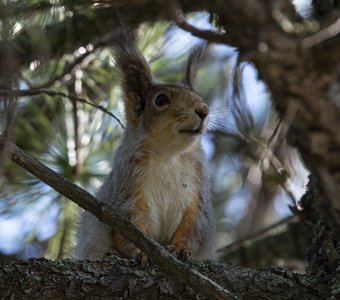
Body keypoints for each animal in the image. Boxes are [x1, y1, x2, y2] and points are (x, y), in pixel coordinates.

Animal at [75, 31, 216, 260]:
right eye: (161, 100)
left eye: (199, 96)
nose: (203, 110)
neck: (169, 155)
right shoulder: (129, 186)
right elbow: (131, 227)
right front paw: (141, 252)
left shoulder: (198, 190)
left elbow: (193, 227)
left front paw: (181, 248)